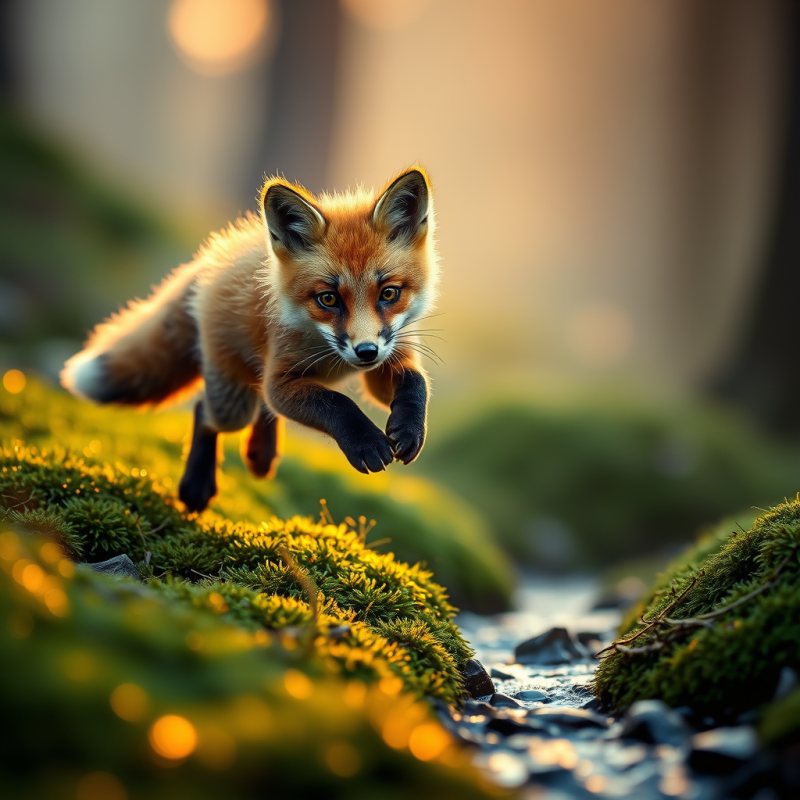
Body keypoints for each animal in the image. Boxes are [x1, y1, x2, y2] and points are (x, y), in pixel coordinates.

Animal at [60, 167, 439, 513]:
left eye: (388, 293)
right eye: (328, 299)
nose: (365, 352)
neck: (331, 357)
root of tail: (210, 260)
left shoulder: (389, 353)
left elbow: (415, 381)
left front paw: (410, 430)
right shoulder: (281, 381)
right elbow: (336, 403)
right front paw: (365, 443)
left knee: (257, 406)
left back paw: (261, 452)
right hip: (233, 402)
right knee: (207, 410)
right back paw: (197, 486)